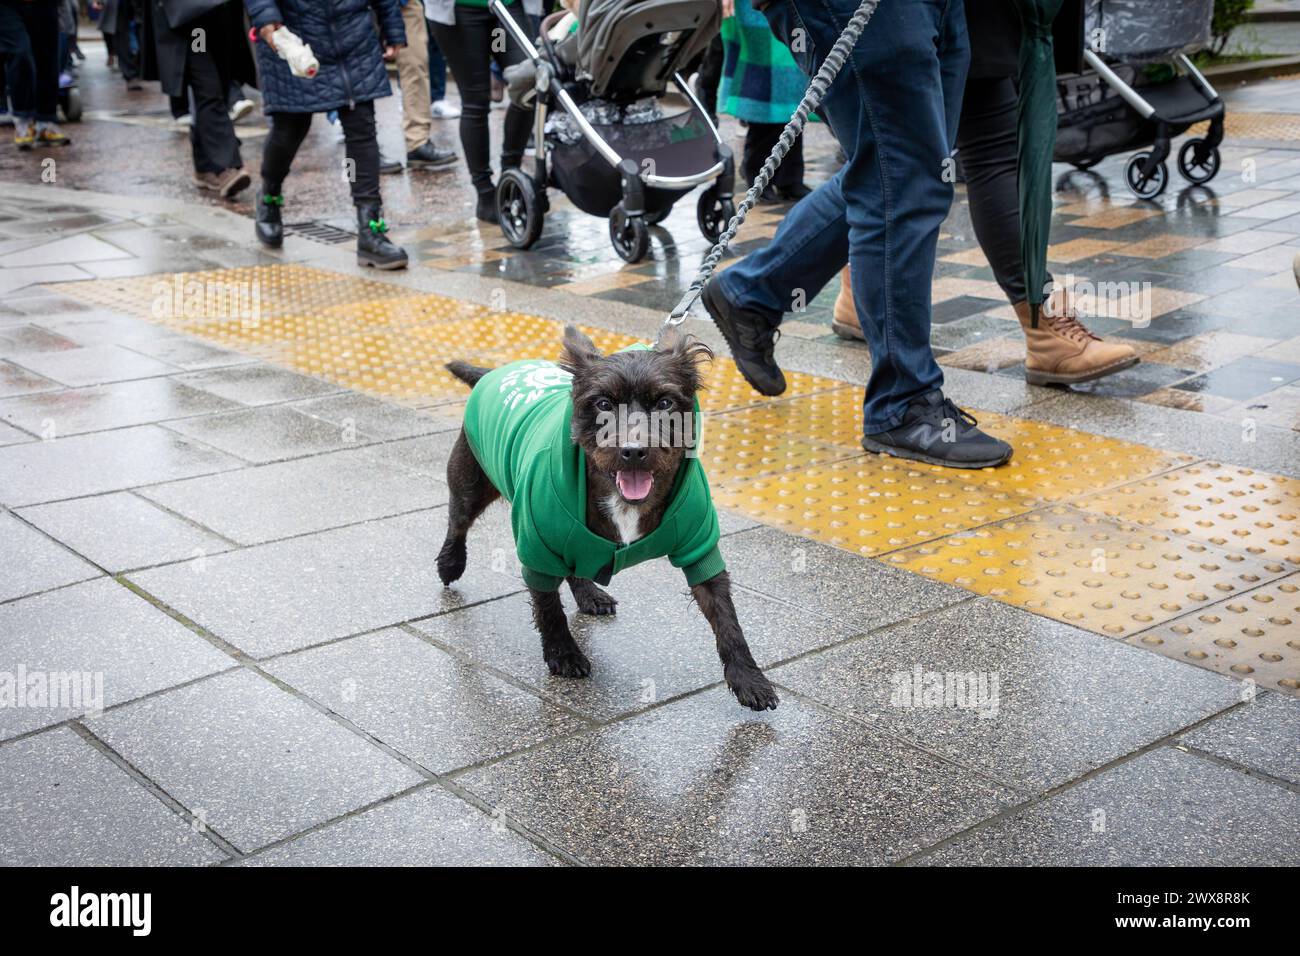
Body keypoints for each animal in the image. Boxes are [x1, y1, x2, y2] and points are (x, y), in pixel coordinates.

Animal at [441, 329, 774, 712]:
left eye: (664, 403)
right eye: (602, 404)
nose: (633, 450)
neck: (624, 501)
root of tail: (495, 371)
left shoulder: (699, 547)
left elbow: (726, 618)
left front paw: (749, 678)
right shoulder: (539, 546)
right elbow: (548, 607)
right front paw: (564, 654)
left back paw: (589, 594)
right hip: (470, 481)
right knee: (457, 522)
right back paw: (450, 563)